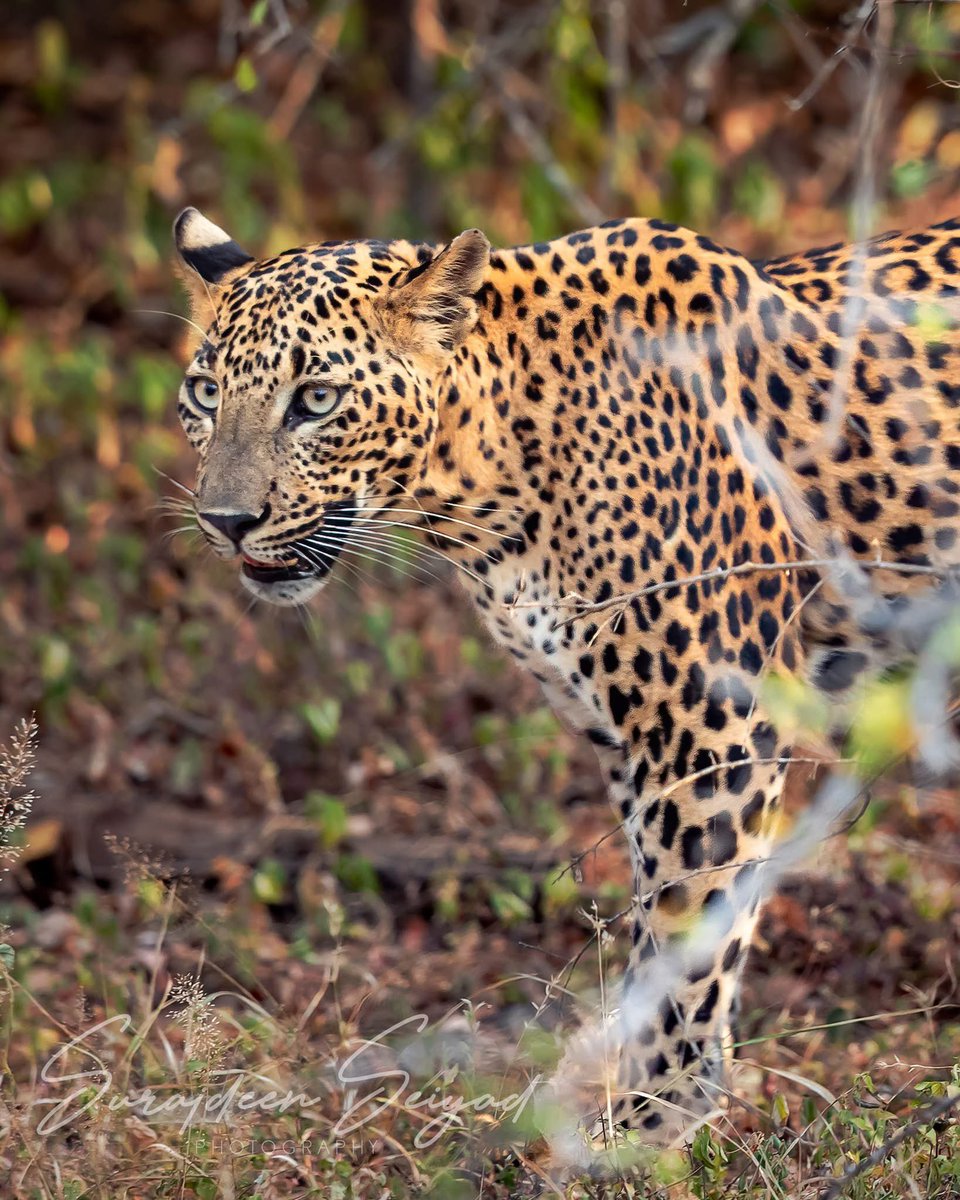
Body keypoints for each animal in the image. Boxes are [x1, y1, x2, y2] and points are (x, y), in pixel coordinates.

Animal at [170, 204, 960, 1150]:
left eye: (316, 400)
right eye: (205, 393)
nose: (225, 520)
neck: (488, 489)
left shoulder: (708, 734)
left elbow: (688, 939)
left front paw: (649, 1131)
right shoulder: (626, 740)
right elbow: (652, 932)